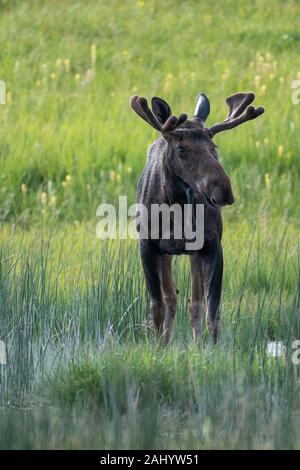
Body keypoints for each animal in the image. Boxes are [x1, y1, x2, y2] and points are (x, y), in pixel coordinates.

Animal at [130, 92, 264, 344]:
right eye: (181, 149)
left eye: (214, 147)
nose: (224, 191)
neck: (177, 209)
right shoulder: (147, 245)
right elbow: (157, 306)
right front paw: (157, 346)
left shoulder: (212, 245)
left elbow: (212, 311)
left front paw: (211, 348)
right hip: (167, 252)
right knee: (171, 298)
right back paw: (166, 341)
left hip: (193, 252)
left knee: (193, 301)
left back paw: (195, 342)